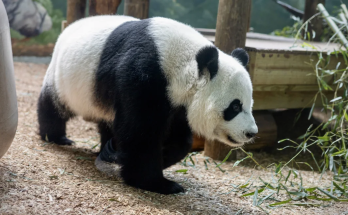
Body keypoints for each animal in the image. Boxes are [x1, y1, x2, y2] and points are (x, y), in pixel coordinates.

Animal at [38, 15, 258, 195]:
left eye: (250, 104)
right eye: (235, 107)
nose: (251, 133)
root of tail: (68, 27)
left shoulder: (176, 101)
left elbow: (180, 138)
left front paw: (164, 156)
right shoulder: (143, 75)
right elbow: (140, 132)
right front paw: (157, 183)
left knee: (107, 120)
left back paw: (108, 149)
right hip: (64, 77)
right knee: (53, 105)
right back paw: (56, 136)